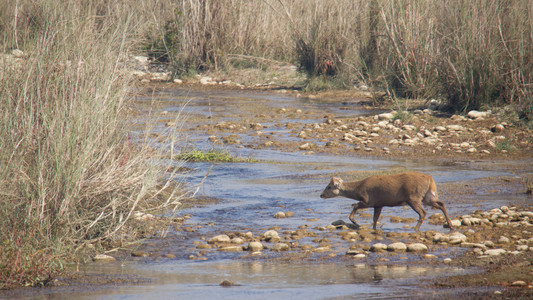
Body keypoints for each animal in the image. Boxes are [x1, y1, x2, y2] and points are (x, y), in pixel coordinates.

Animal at [320, 171, 454, 232]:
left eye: (329, 187)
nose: (321, 195)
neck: (358, 191)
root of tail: (430, 179)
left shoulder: (368, 200)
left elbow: (354, 207)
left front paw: (357, 224)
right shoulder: (379, 204)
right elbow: (375, 219)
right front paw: (374, 229)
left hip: (413, 197)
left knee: (423, 212)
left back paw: (415, 229)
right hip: (428, 196)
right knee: (441, 204)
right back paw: (451, 225)